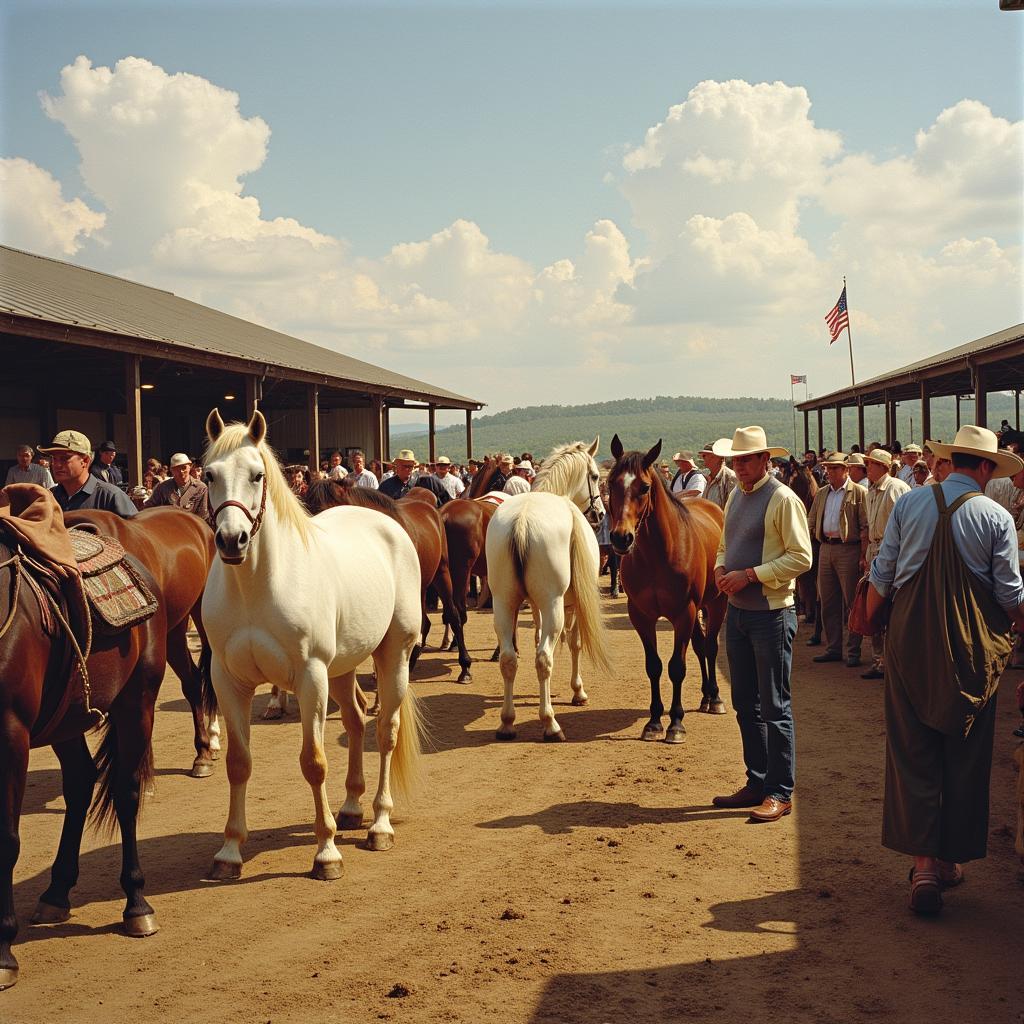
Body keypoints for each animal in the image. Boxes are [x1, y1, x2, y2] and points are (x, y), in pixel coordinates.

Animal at [0, 483, 211, 987]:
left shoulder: (12, 734)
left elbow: (7, 839)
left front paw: (3, 952)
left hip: (139, 695)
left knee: (125, 791)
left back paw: (136, 906)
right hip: (69, 716)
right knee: (80, 784)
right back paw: (56, 892)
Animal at [199, 407, 423, 880]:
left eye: (257, 475)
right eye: (209, 475)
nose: (231, 540)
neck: (257, 587)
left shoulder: (309, 678)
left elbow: (314, 762)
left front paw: (326, 852)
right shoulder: (228, 681)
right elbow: (238, 763)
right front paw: (229, 851)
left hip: (392, 655)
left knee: (385, 731)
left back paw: (379, 824)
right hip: (341, 668)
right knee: (356, 720)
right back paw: (352, 808)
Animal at [485, 436, 610, 741]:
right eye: (595, 476)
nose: (601, 513)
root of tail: (521, 521)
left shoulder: (534, 608)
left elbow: (534, 640)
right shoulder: (571, 604)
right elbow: (575, 644)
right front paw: (578, 692)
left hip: (503, 605)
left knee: (509, 659)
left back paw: (507, 722)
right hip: (554, 607)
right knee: (544, 658)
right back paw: (550, 723)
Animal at [606, 434, 729, 745]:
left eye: (645, 487)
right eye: (611, 483)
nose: (621, 538)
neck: (658, 555)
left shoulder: (683, 614)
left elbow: (676, 667)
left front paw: (675, 723)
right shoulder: (641, 616)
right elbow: (654, 666)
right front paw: (653, 722)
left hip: (716, 603)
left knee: (711, 646)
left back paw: (715, 698)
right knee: (700, 646)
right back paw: (705, 697)